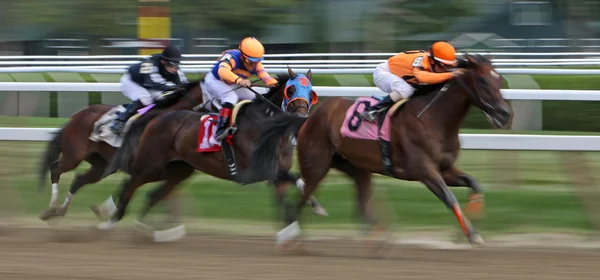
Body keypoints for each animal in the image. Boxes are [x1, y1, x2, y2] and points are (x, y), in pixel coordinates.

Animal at [246, 54, 512, 247]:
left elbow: (475, 184)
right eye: (483, 81)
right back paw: (289, 235)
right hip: (316, 166)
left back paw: (376, 236)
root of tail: (306, 118)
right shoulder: (425, 171)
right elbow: (450, 198)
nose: (505, 114)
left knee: (359, 206)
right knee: (299, 199)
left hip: (356, 168)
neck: (433, 119)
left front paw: (466, 231)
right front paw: (472, 234)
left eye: (500, 80)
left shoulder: (445, 169)